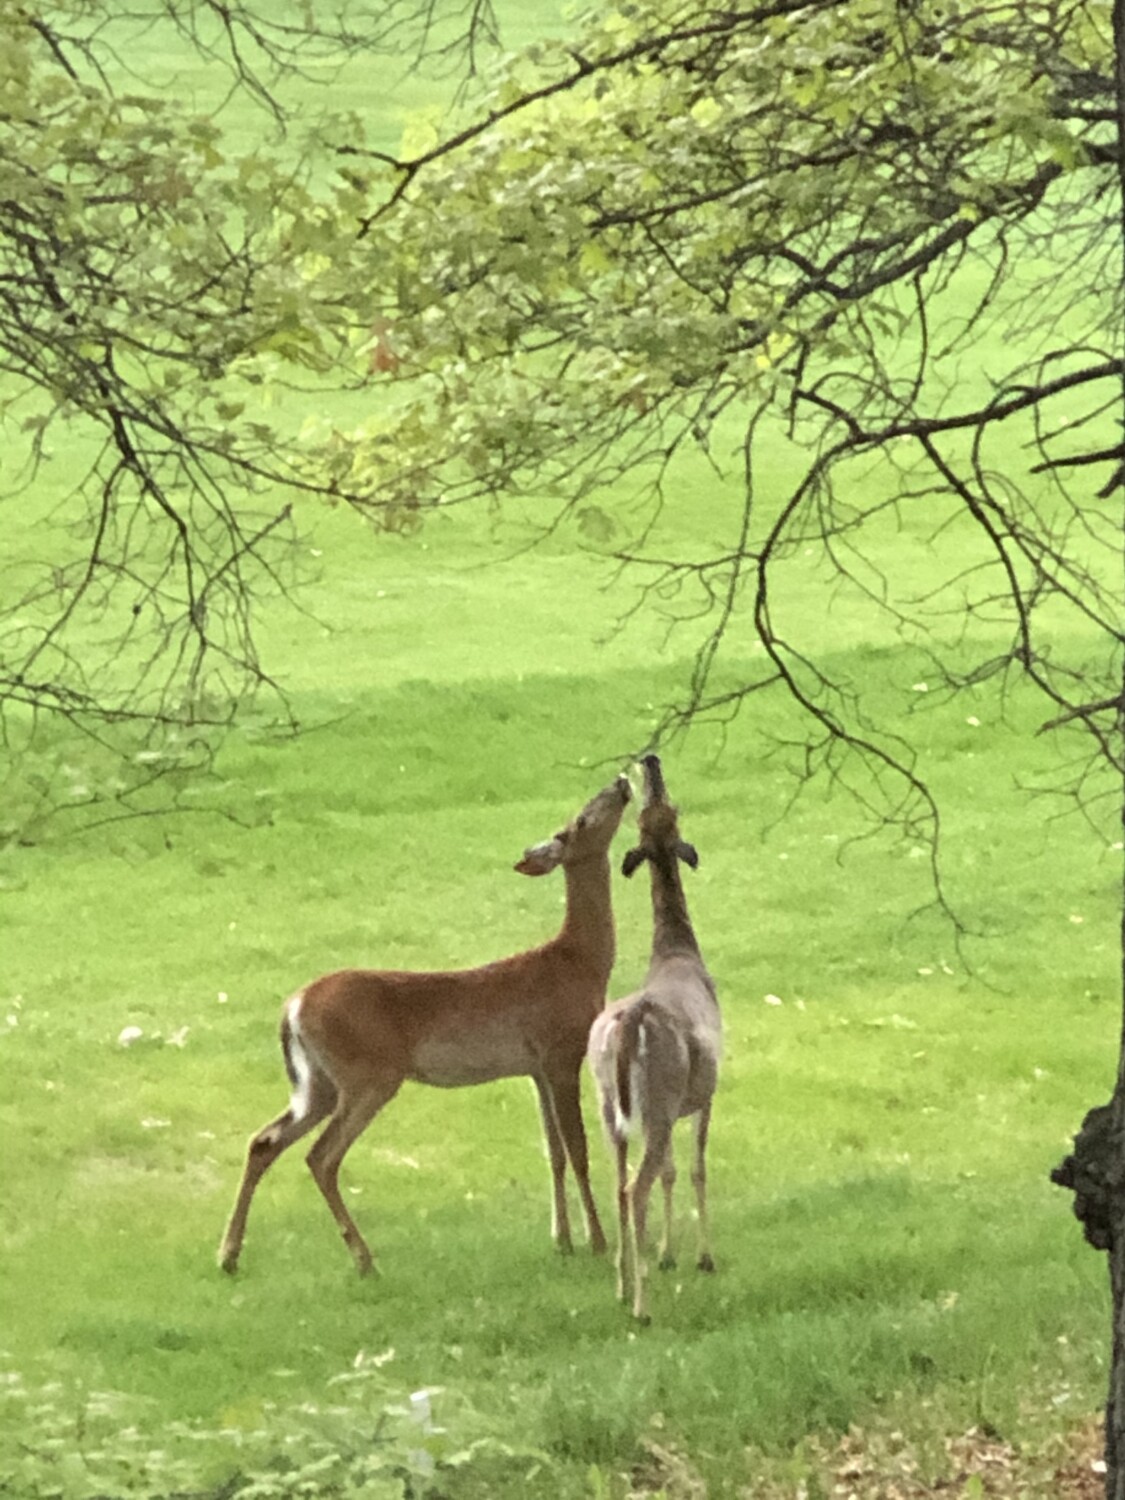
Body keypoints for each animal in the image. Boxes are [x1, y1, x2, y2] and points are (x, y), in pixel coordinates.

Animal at [218, 773, 632, 1277]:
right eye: (582, 819)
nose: (621, 779)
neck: (579, 963)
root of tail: (292, 1006)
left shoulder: (535, 1069)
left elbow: (552, 1152)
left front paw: (563, 1241)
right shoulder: (561, 1052)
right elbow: (578, 1150)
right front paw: (597, 1241)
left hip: (318, 1083)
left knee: (264, 1141)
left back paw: (229, 1255)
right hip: (368, 1075)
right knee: (321, 1156)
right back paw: (363, 1259)